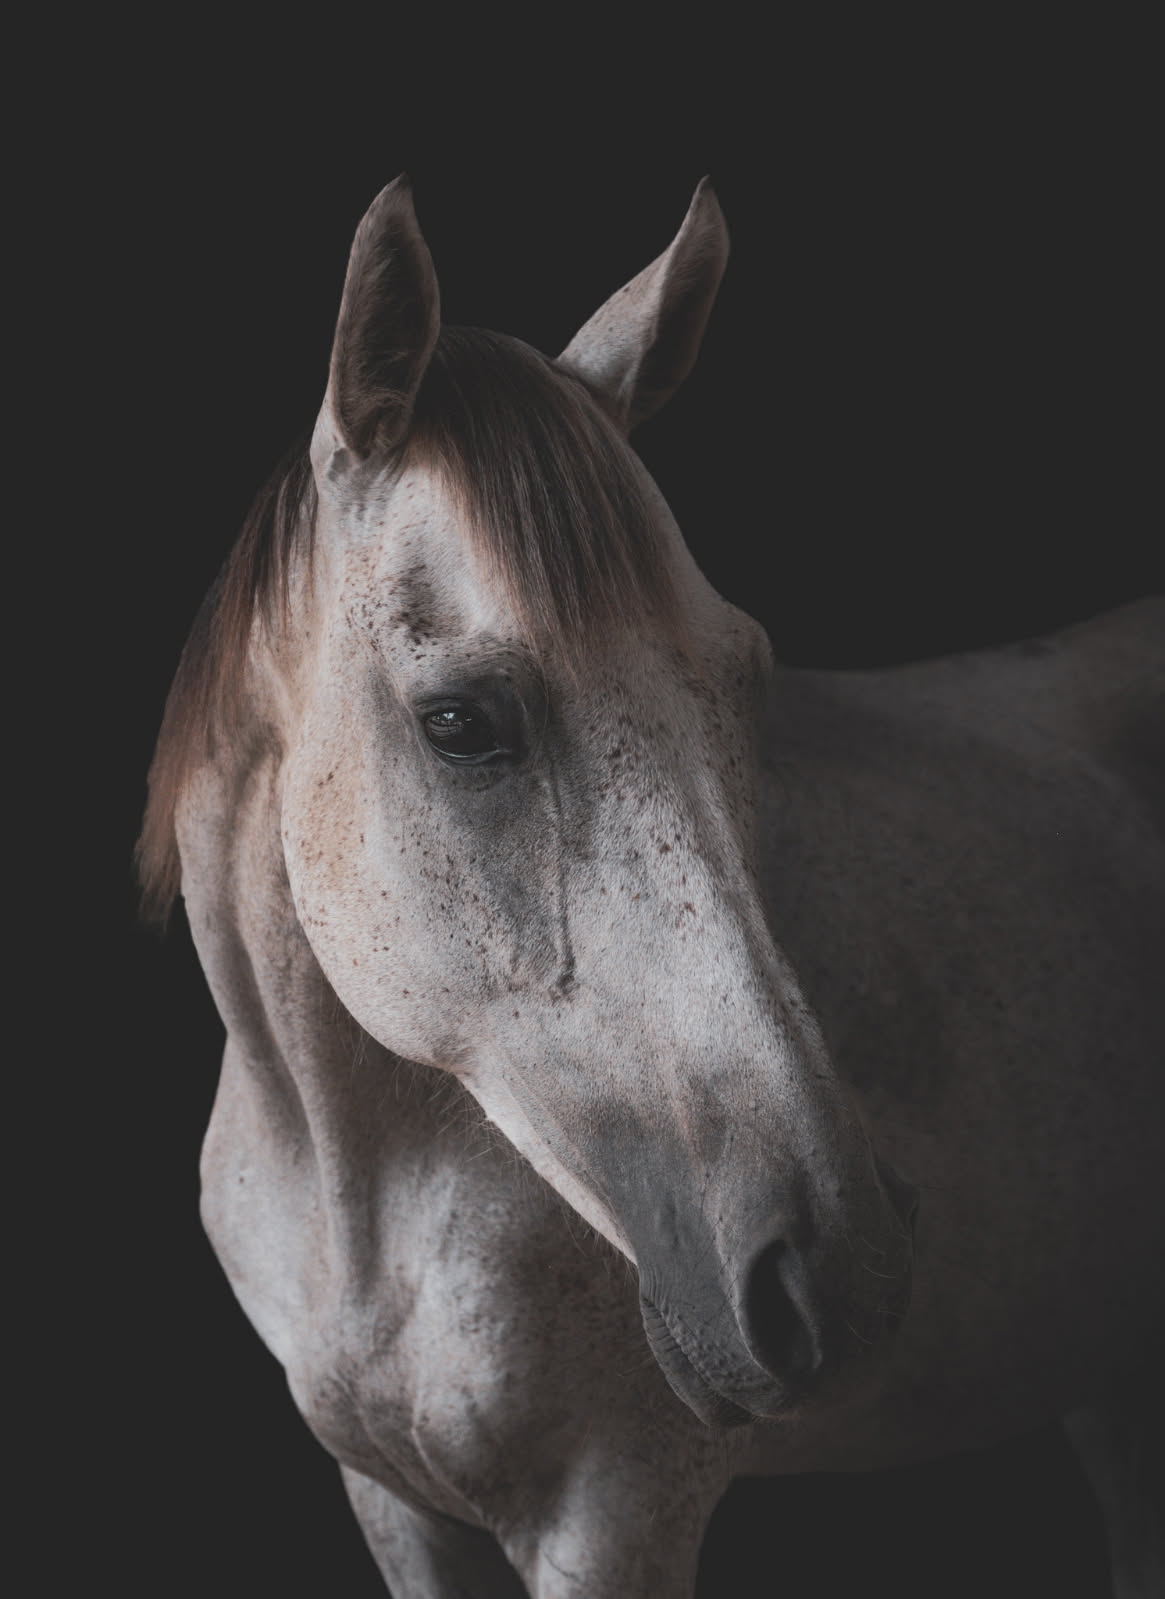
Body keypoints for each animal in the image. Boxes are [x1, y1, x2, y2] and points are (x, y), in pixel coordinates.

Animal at [139, 174, 1165, 1597]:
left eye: (744, 676)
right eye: (460, 724)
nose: (845, 1272)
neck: (359, 1178)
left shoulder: (615, 1516)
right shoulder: (390, 1507)